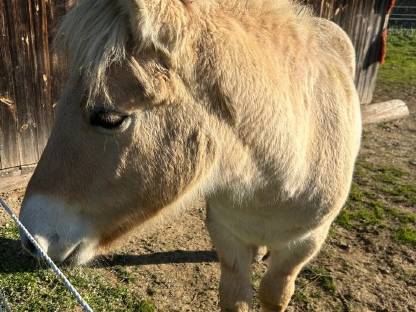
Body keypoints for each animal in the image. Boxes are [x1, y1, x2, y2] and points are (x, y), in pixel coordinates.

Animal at [18, 1, 360, 310]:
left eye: (110, 118)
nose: (31, 240)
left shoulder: (303, 245)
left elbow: (275, 296)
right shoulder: (227, 235)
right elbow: (235, 299)